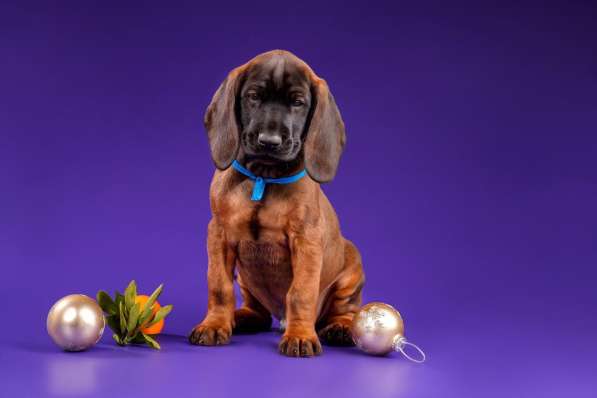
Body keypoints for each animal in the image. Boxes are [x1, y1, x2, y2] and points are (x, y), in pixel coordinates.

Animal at [189, 49, 364, 358]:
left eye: (298, 103)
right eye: (253, 96)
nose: (268, 141)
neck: (264, 176)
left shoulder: (306, 240)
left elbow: (301, 293)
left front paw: (300, 335)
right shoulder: (218, 234)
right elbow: (219, 287)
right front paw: (214, 324)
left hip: (352, 268)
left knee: (345, 309)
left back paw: (340, 327)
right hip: (246, 280)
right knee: (257, 310)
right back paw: (240, 317)